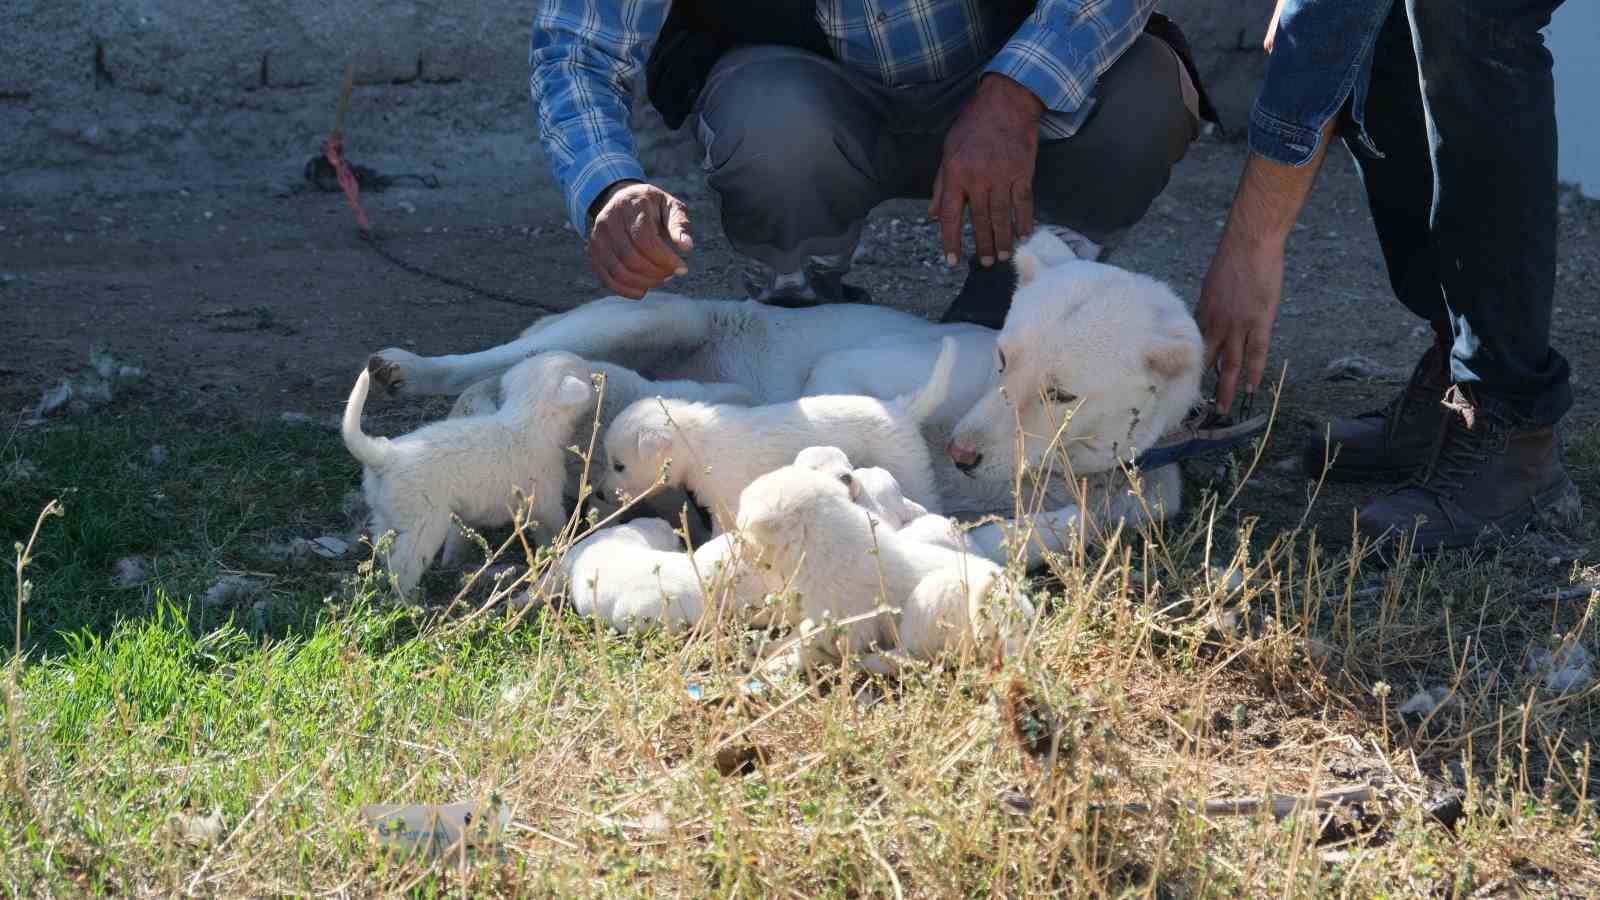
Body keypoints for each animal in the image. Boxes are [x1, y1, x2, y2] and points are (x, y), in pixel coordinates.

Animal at [345, 350, 601, 595]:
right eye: (588, 378)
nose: (598, 379)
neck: (529, 418)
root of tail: (386, 455)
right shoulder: (546, 502)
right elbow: (554, 528)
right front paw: (563, 544)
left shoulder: (468, 514)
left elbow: (459, 538)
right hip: (424, 523)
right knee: (404, 564)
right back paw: (408, 600)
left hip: (386, 516)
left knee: (382, 547)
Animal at [598, 337, 947, 531]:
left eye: (620, 465)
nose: (599, 494)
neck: (696, 442)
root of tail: (902, 408)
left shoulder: (727, 504)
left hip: (911, 472)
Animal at [736, 464, 1036, 669]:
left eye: (743, 528)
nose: (739, 549)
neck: (821, 544)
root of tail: (1019, 611)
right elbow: (799, 633)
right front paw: (769, 646)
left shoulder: (847, 623)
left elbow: (811, 647)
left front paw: (775, 665)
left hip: (934, 595)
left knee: (915, 656)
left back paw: (871, 662)